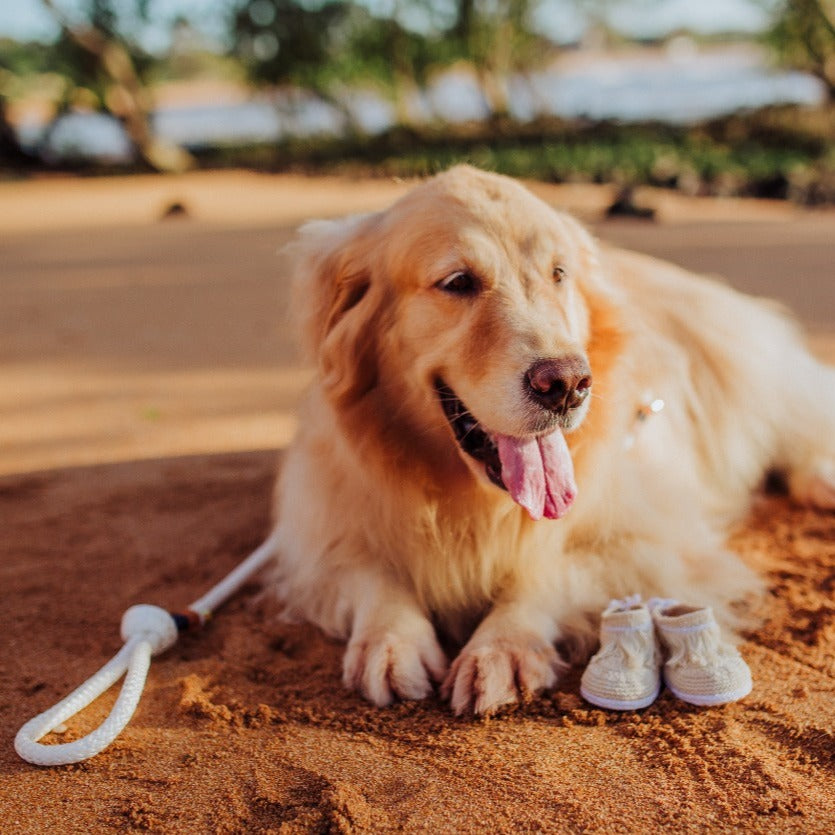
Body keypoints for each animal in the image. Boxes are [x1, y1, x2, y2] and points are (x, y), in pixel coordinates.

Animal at [270, 167, 835, 716]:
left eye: (559, 274)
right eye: (457, 282)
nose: (566, 385)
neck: (470, 501)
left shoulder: (655, 539)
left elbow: (549, 571)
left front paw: (500, 647)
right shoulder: (319, 533)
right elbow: (370, 571)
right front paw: (390, 641)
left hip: (749, 368)